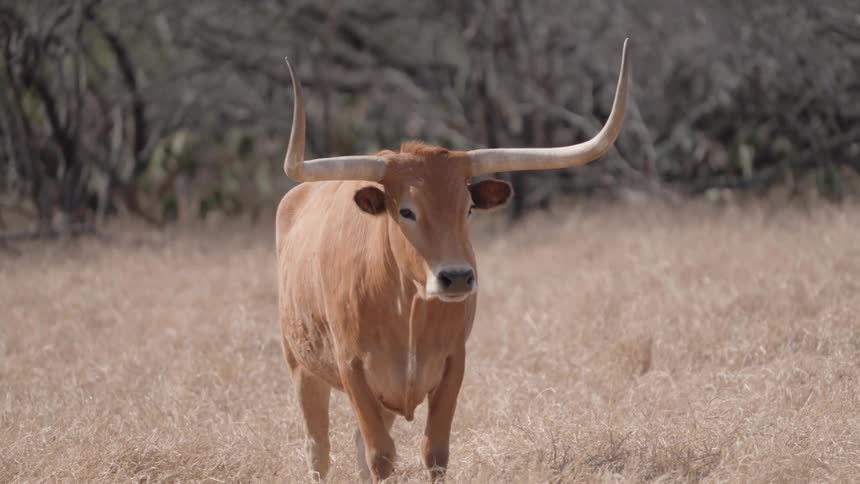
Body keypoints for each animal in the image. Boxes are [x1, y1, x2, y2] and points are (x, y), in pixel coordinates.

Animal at [277, 39, 630, 483]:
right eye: (406, 211)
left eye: (469, 208)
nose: (457, 277)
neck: (405, 305)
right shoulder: (352, 367)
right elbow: (381, 455)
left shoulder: (452, 364)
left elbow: (433, 452)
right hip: (301, 367)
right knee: (318, 448)